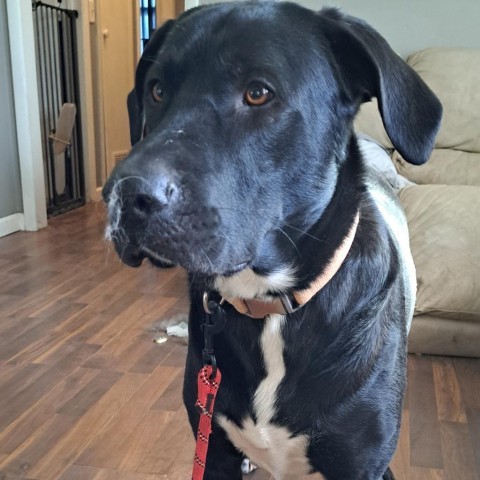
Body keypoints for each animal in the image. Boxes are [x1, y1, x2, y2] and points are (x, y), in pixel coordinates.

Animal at [103, 1, 440, 478]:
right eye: (157, 90)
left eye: (258, 93)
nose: (123, 195)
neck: (269, 303)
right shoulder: (213, 450)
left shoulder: (358, 464)